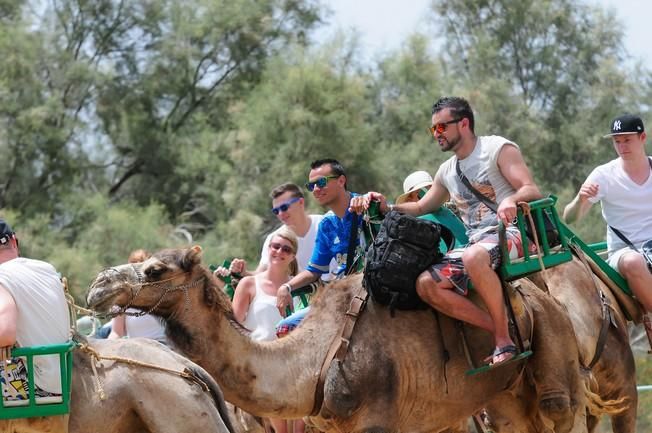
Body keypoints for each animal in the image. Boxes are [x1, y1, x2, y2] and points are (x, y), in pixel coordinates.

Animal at [86, 246, 608, 432]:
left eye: (155, 269)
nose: (97, 286)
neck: (314, 360)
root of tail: (535, 294)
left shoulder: (378, 419)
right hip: (503, 395)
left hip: (555, 357)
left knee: (560, 408)